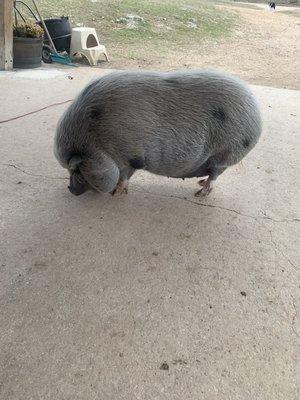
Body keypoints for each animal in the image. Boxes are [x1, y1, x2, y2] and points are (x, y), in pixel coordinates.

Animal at [54, 70, 262, 198]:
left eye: (77, 171)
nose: (70, 189)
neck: (97, 142)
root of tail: (257, 114)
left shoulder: (131, 157)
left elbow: (124, 176)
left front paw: (117, 193)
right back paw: (200, 183)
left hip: (226, 153)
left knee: (215, 175)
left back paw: (199, 194)